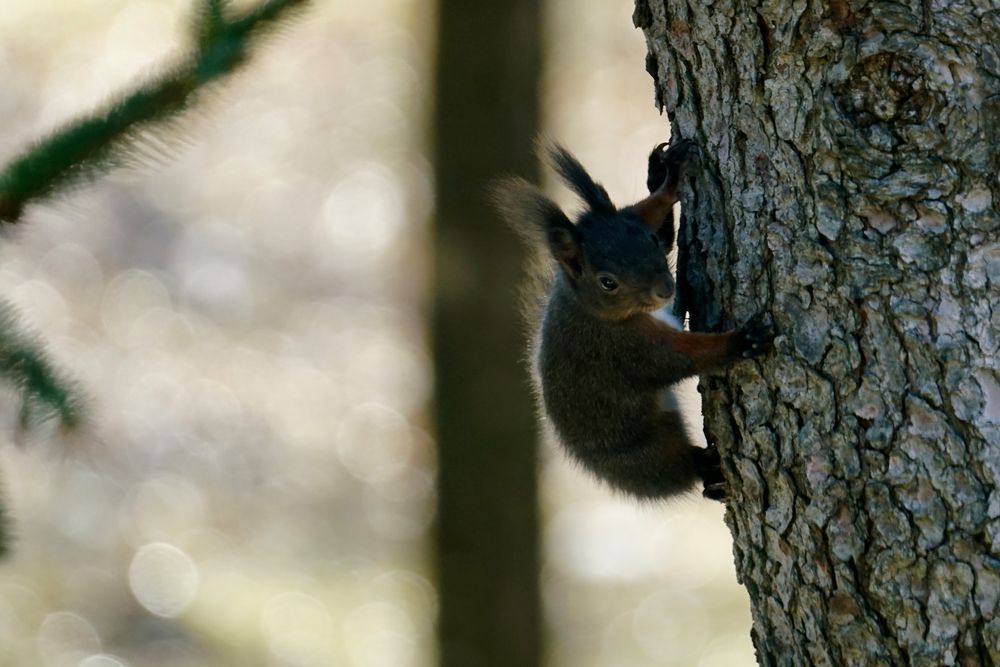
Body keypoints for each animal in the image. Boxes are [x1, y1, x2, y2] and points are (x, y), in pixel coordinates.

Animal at [494, 142, 772, 506]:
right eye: (607, 282)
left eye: (649, 241)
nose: (665, 289)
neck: (591, 309)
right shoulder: (625, 348)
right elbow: (684, 358)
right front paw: (743, 340)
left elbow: (651, 217)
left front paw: (663, 179)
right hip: (647, 454)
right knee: (680, 468)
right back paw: (708, 469)